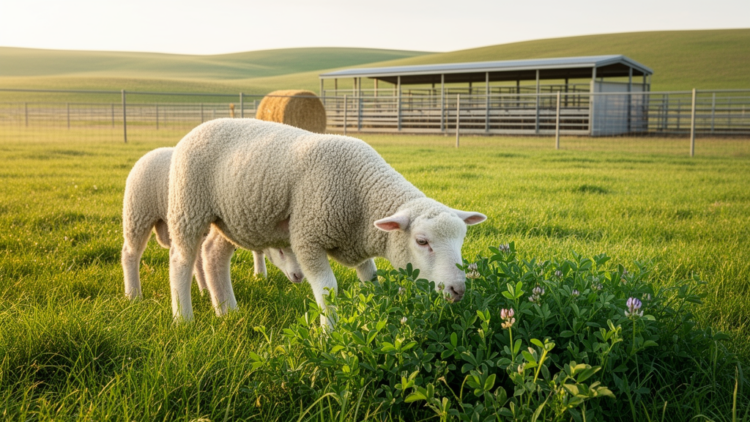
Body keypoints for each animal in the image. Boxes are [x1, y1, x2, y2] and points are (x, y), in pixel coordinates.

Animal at [122, 147, 304, 312]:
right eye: (281, 250)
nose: (298, 276)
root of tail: (150, 153)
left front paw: (259, 275)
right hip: (138, 214)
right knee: (130, 253)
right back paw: (133, 295)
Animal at [167, 118, 486, 326]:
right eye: (422, 241)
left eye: (461, 240)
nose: (458, 290)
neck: (364, 192)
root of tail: (199, 127)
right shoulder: (308, 237)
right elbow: (327, 289)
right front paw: (328, 335)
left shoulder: (357, 240)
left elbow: (371, 281)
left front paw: (375, 320)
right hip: (188, 206)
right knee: (181, 260)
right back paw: (183, 318)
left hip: (231, 219)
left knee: (213, 254)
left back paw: (227, 311)